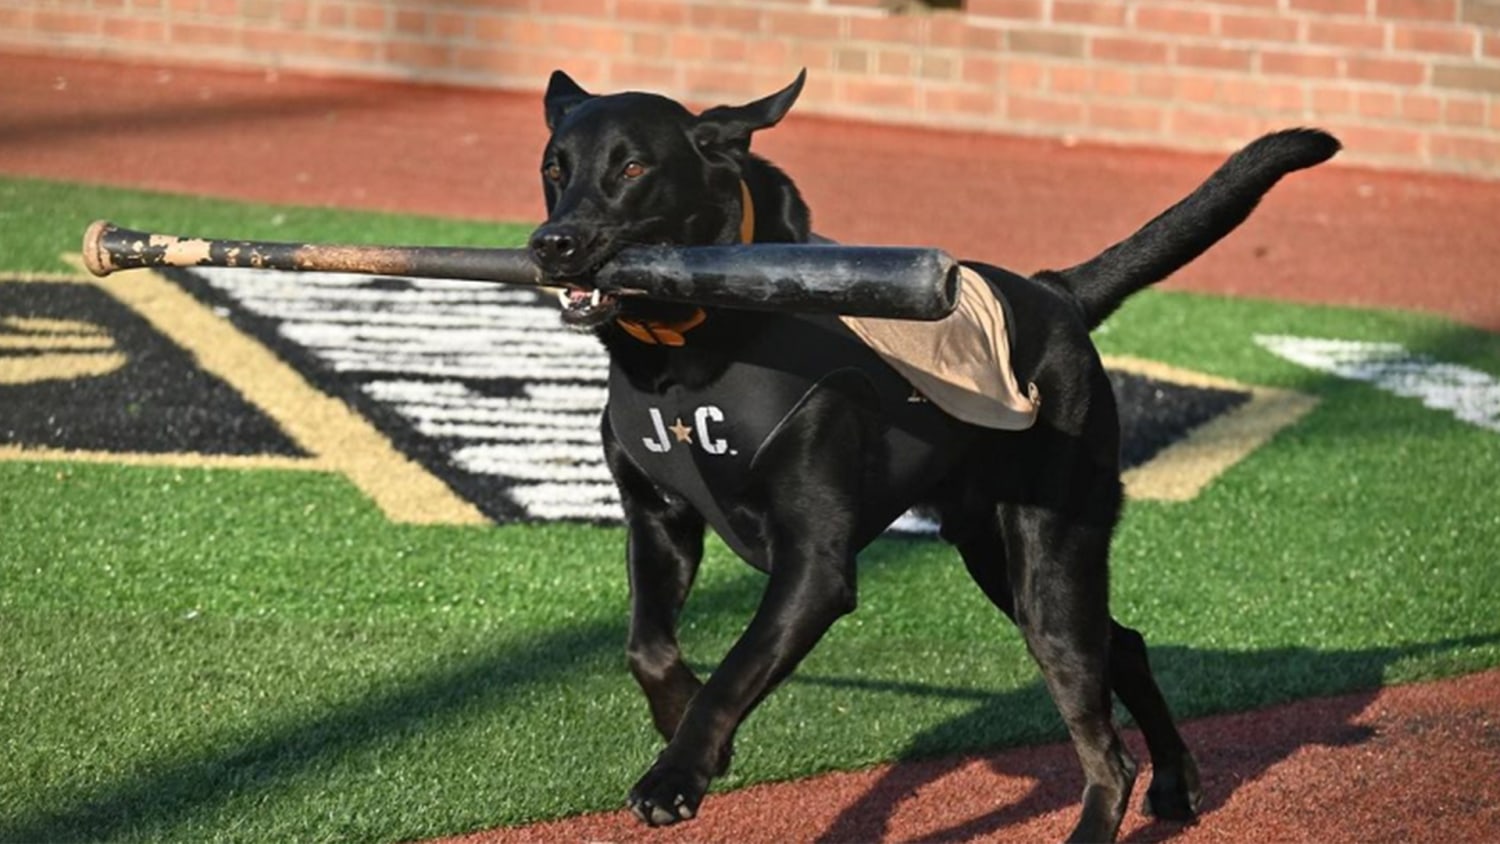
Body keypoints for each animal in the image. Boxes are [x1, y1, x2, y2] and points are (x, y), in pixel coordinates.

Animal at [528, 72, 1338, 844]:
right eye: (553, 168)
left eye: (634, 166)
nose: (550, 244)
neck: (688, 353)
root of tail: (1054, 292)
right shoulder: (657, 520)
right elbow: (647, 645)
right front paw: (686, 730)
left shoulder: (814, 567)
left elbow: (736, 668)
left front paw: (678, 773)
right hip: (993, 553)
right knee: (1127, 646)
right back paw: (1175, 783)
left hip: (1050, 558)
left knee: (1105, 743)